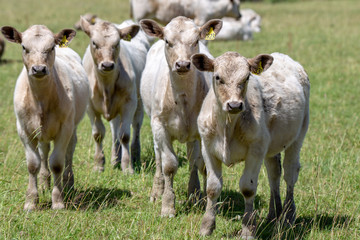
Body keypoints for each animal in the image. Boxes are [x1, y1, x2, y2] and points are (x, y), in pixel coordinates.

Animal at [0, 24, 89, 210]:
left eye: (51, 47)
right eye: (24, 47)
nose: (39, 69)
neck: (41, 100)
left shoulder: (65, 128)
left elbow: (57, 163)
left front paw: (58, 200)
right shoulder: (24, 130)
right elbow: (33, 164)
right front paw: (31, 201)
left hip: (72, 126)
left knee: (69, 151)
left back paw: (68, 183)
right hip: (42, 132)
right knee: (44, 152)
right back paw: (44, 183)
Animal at [81, 17, 148, 173]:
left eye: (117, 43)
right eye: (94, 43)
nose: (107, 65)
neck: (106, 86)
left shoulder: (129, 104)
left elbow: (125, 135)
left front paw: (127, 166)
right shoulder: (90, 107)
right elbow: (98, 134)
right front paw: (99, 164)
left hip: (139, 104)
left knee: (136, 127)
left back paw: (135, 156)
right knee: (114, 131)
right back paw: (114, 159)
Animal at [140, 15, 222, 217]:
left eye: (196, 41)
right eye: (168, 41)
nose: (183, 64)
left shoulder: (203, 132)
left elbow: (200, 164)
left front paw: (200, 198)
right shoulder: (160, 126)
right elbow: (169, 165)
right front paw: (168, 205)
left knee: (193, 158)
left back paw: (194, 193)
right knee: (159, 158)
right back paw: (157, 191)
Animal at [191, 51, 310, 237]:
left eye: (247, 77)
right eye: (218, 77)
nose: (234, 105)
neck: (228, 125)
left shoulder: (256, 150)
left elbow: (248, 188)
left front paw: (248, 229)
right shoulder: (207, 148)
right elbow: (212, 187)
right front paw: (206, 227)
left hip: (297, 137)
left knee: (290, 175)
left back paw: (288, 216)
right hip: (271, 147)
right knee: (274, 175)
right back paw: (273, 214)